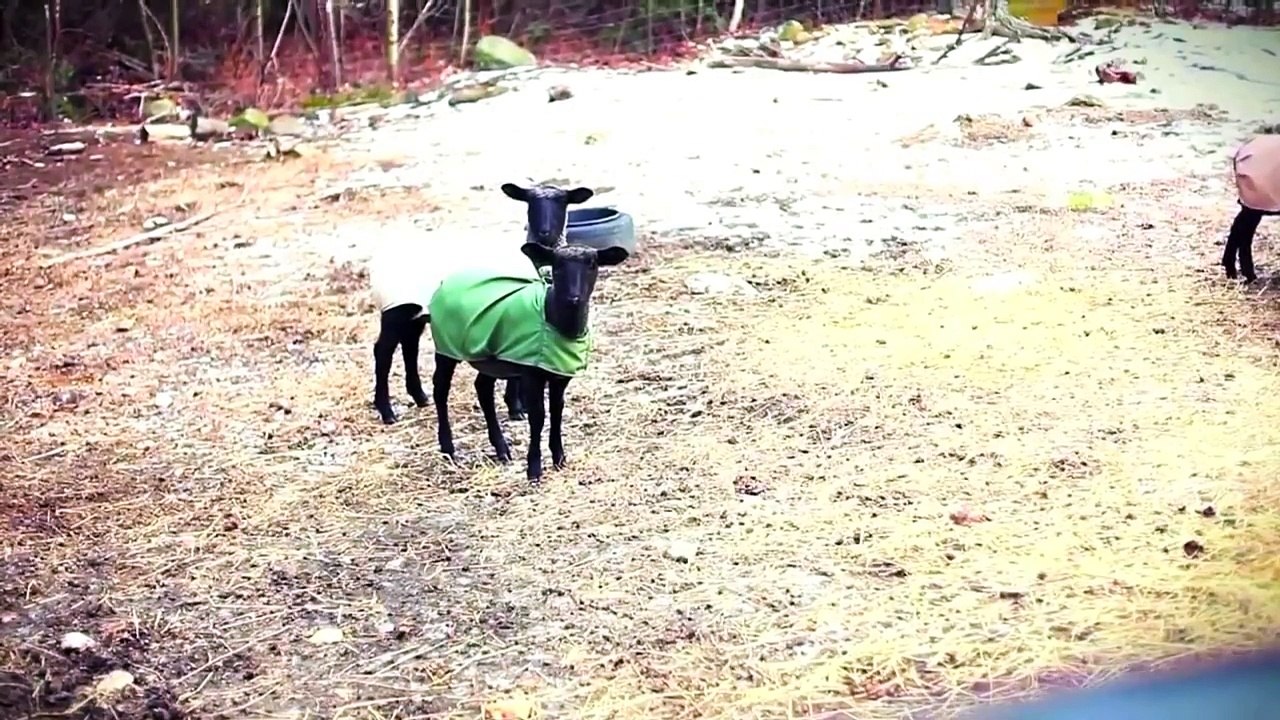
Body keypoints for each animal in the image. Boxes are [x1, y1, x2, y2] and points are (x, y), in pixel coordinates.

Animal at [370, 183, 593, 425]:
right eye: (530, 202)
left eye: (563, 202)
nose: (545, 232)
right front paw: (516, 408)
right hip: (395, 308)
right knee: (383, 352)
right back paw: (387, 411)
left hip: (415, 312)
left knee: (410, 346)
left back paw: (420, 397)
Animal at [428, 242, 629, 482]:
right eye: (556, 265)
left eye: (592, 264)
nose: (573, 298)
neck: (552, 316)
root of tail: (447, 280)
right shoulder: (532, 374)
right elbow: (538, 416)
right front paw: (534, 469)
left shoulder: (559, 375)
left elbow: (557, 411)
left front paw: (559, 459)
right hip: (446, 347)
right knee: (440, 390)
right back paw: (448, 448)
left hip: (490, 356)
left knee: (483, 388)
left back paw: (501, 449)